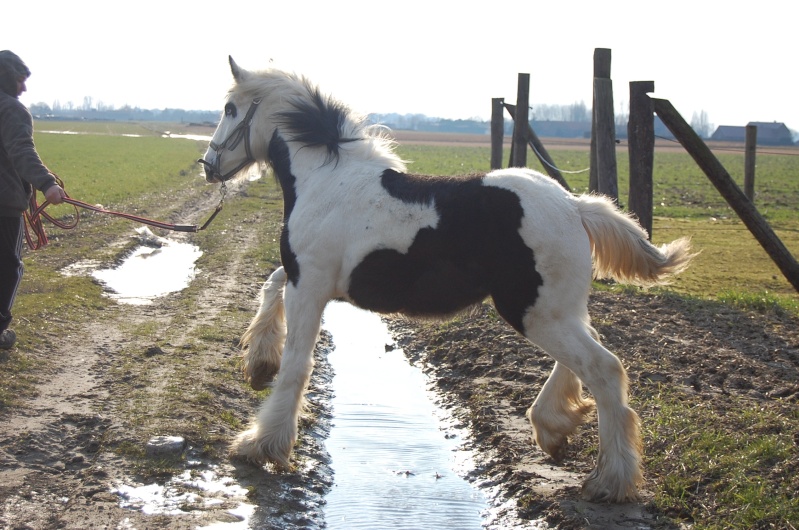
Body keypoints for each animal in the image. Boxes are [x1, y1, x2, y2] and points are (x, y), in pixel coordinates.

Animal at [200, 55, 692, 502]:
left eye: (229, 108)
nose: (207, 165)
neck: (325, 181)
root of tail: (575, 206)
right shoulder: (307, 277)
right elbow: (270, 286)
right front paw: (258, 363)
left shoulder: (311, 284)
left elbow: (297, 364)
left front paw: (260, 445)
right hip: (557, 309)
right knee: (584, 358)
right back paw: (554, 427)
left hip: (535, 313)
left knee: (604, 369)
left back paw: (610, 480)